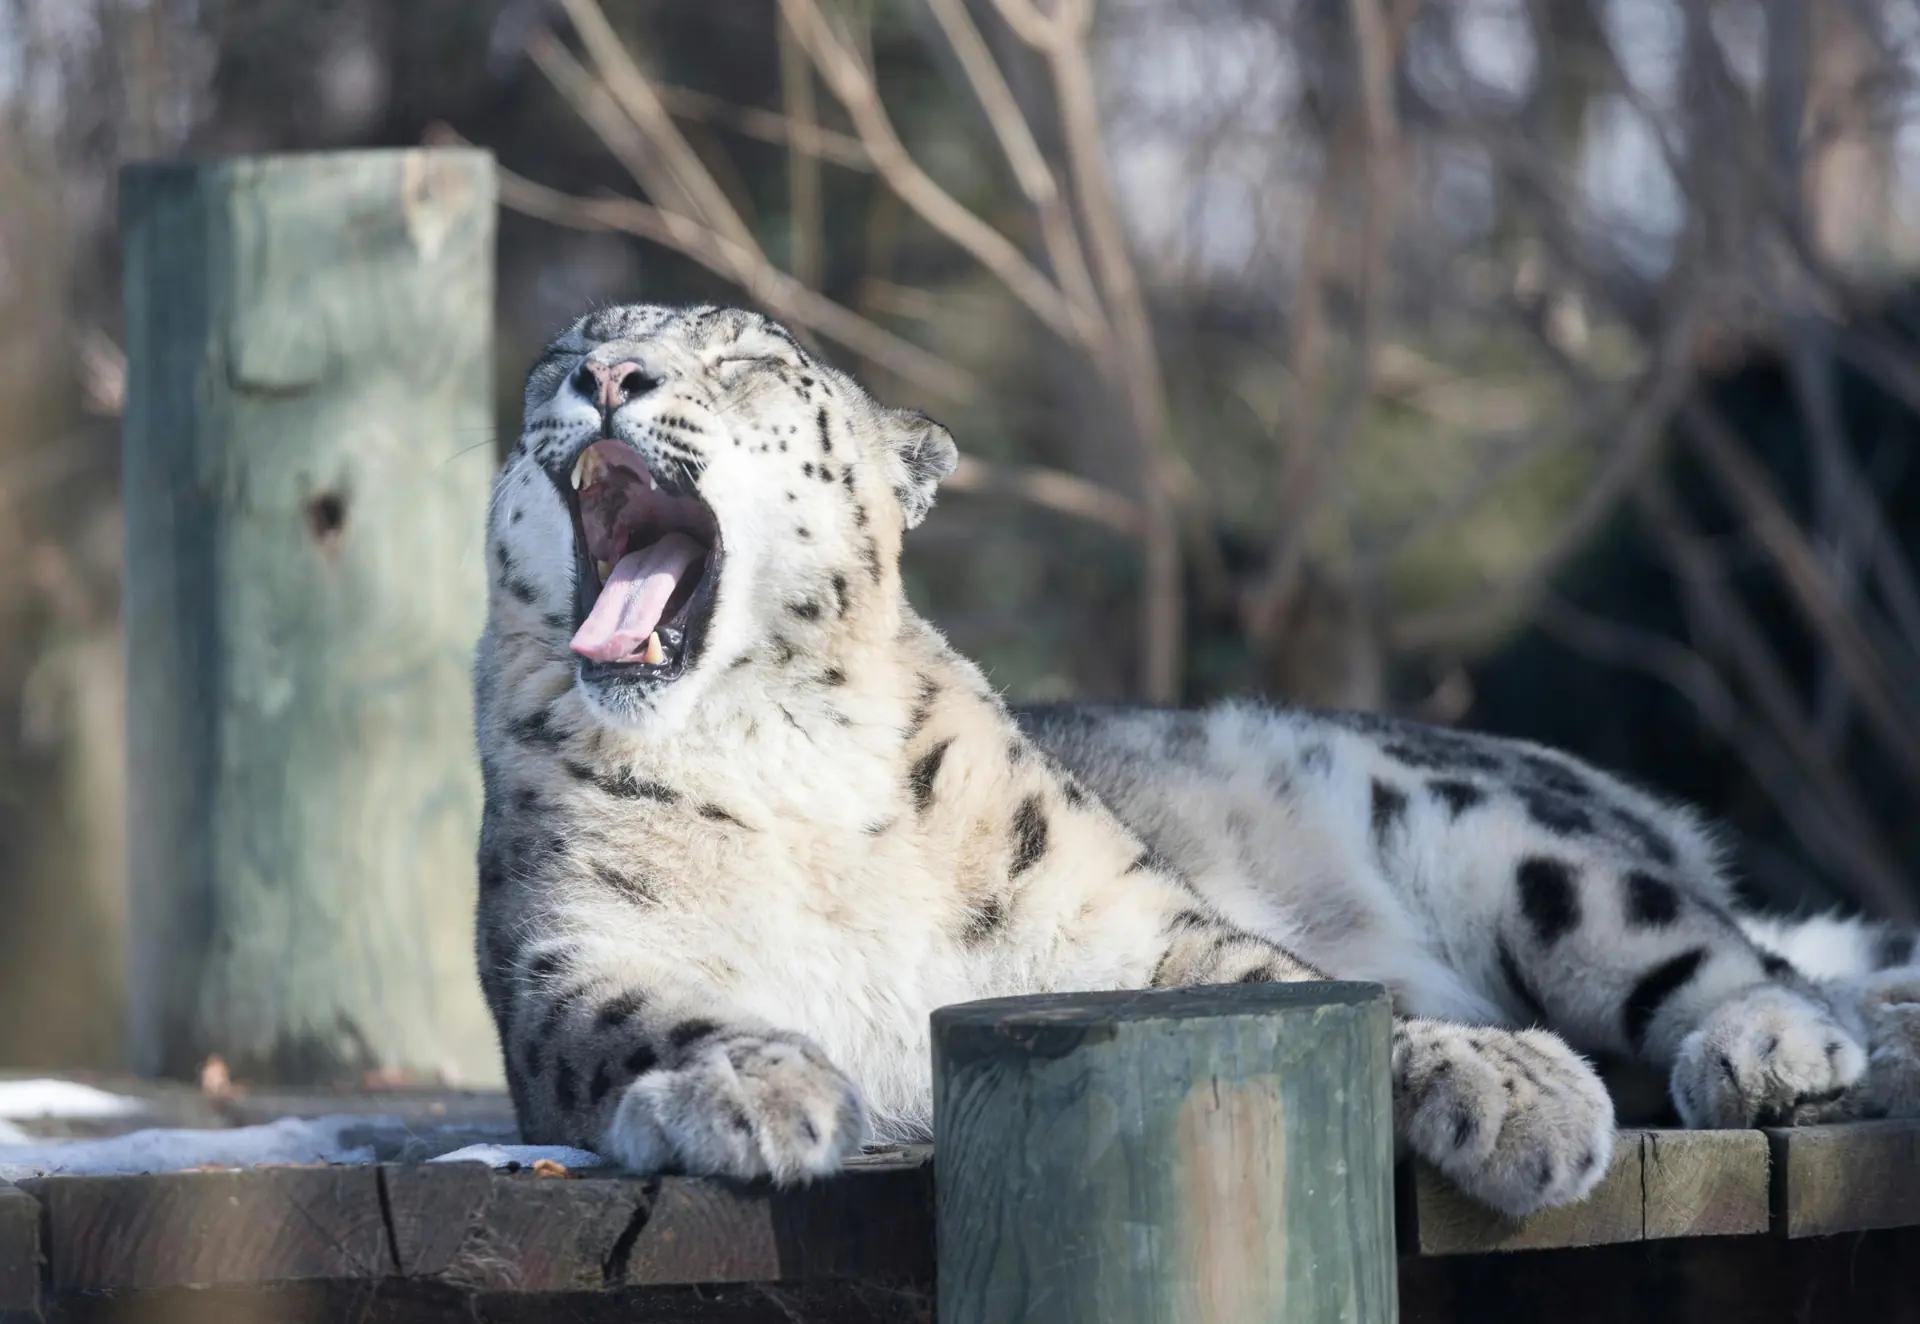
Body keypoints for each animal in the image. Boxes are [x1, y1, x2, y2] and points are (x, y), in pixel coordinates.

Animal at [476, 301, 1920, 1220]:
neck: (777, 752)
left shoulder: (1137, 926)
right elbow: (650, 1016)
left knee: (1747, 955)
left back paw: (1774, 1049)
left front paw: (1515, 1089)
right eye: (565, 354)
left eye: (744, 361)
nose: (606, 383)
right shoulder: (568, 957)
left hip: (1515, 841)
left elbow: (1316, 991)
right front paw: (756, 1088)